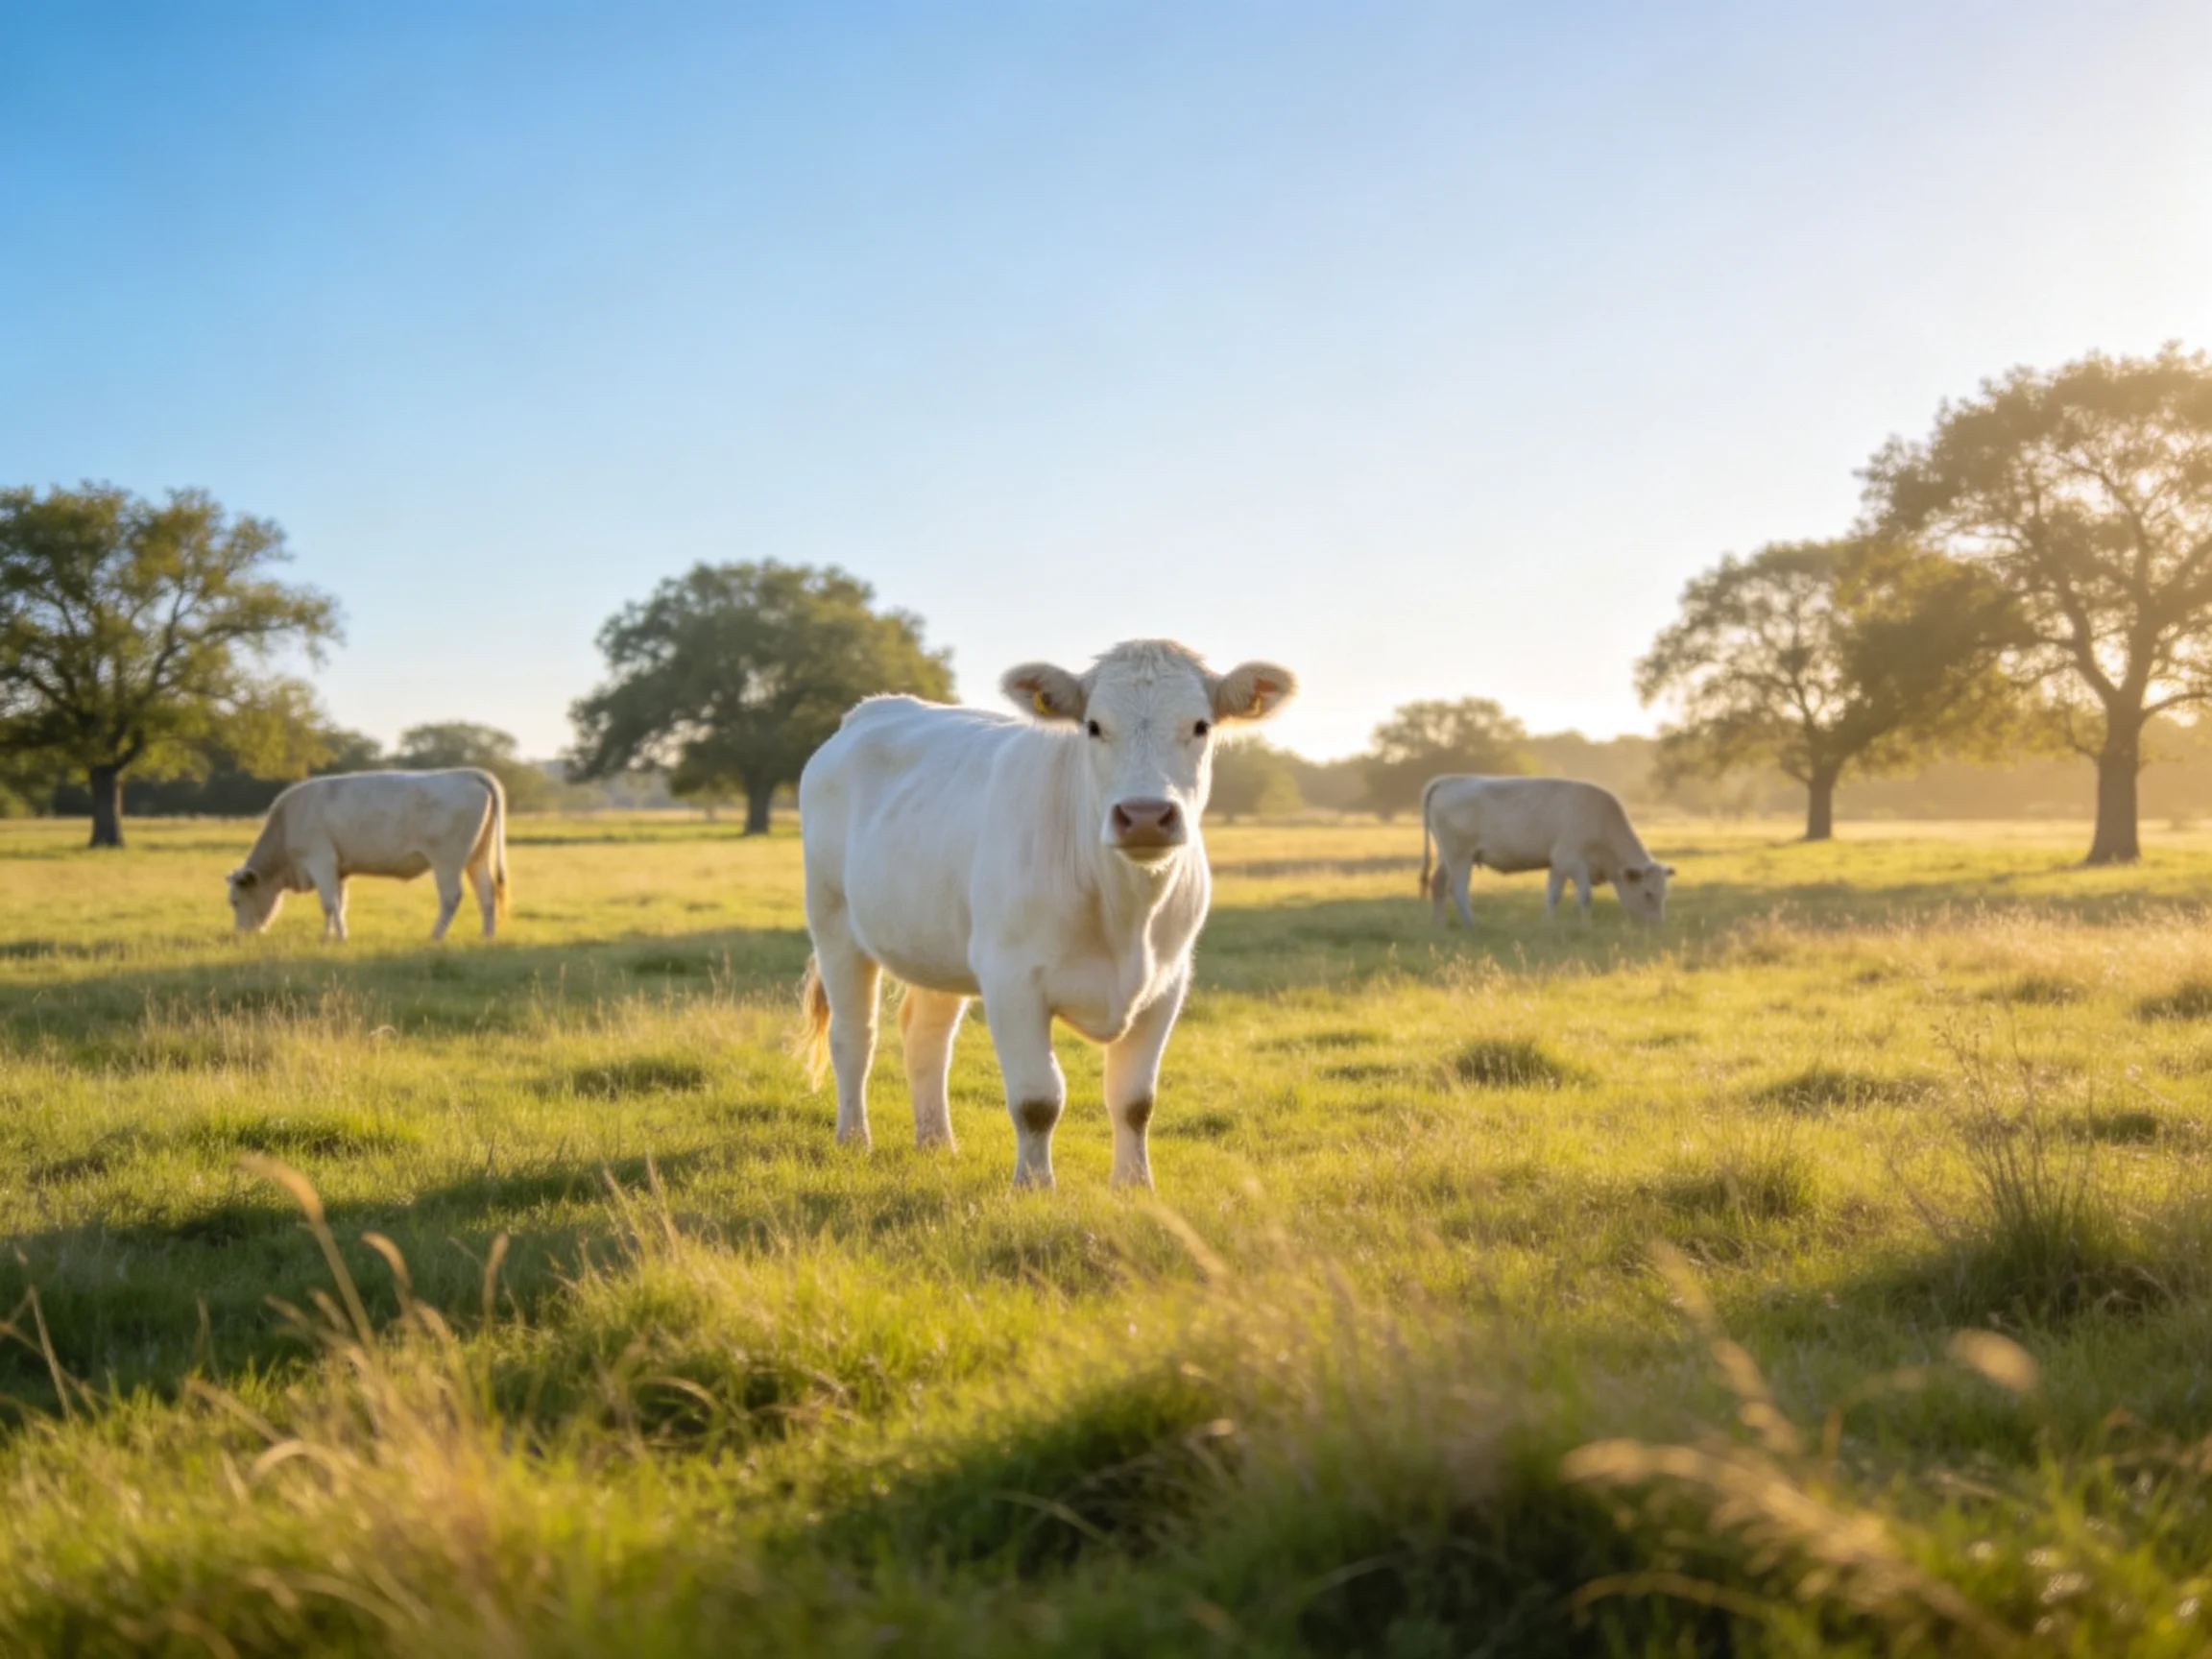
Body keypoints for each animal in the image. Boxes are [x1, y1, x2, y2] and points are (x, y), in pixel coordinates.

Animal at [226, 769, 510, 942]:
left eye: (235, 901)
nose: (241, 934)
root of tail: (466, 773)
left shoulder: (320, 860)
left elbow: (329, 903)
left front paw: (332, 938)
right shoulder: (338, 869)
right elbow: (338, 902)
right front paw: (335, 936)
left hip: (447, 861)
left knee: (451, 897)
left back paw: (435, 936)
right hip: (477, 858)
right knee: (487, 893)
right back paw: (487, 935)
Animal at [794, 639, 1296, 1190]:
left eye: (1201, 725)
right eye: (1093, 725)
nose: (1144, 815)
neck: (1126, 917)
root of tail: (873, 708)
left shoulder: (1167, 982)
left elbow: (1135, 1099)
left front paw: (1134, 1185)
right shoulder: (1011, 978)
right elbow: (1037, 1098)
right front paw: (1034, 1186)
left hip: (936, 939)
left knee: (926, 1038)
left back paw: (937, 1143)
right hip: (834, 924)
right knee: (854, 1037)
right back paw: (853, 1139)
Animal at [1420, 775, 1673, 926]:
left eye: (1664, 893)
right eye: (1648, 893)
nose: (1657, 925)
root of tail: (1450, 780)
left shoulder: (1558, 864)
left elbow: (1553, 895)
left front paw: (1548, 924)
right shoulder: (1572, 861)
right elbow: (1585, 897)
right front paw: (1586, 926)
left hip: (1446, 856)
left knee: (1438, 885)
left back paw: (1439, 925)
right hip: (1460, 856)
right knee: (1458, 890)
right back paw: (1471, 924)